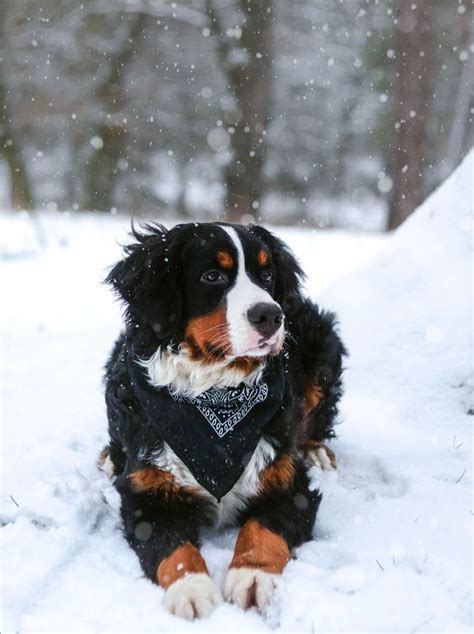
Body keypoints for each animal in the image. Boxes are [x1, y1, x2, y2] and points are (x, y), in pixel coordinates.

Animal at [99, 222, 344, 616]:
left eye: (267, 274)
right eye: (212, 276)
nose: (270, 315)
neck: (216, 392)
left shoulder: (289, 483)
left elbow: (262, 529)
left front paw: (253, 576)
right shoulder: (147, 495)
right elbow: (171, 546)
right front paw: (191, 589)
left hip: (321, 343)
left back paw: (317, 450)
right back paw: (109, 457)